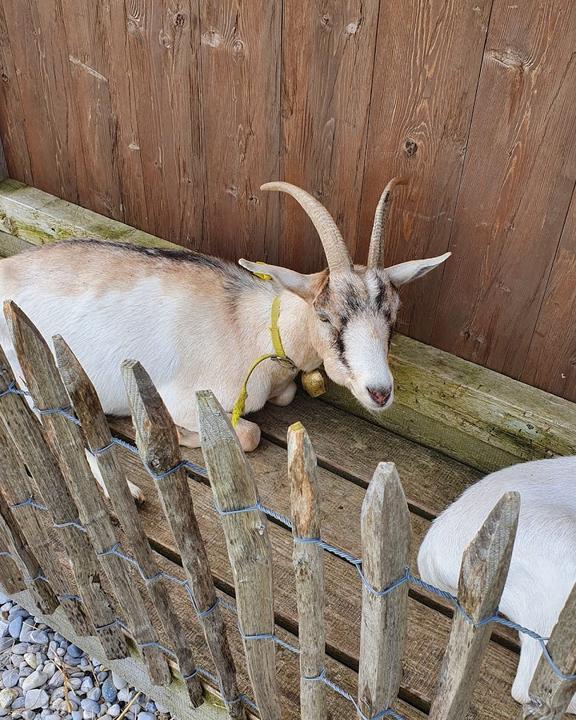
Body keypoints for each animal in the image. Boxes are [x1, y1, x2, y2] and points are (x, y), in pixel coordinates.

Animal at [0, 177, 450, 496]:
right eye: (325, 316)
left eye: (392, 315)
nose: (380, 391)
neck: (250, 326)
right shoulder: (185, 399)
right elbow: (249, 435)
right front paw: (180, 437)